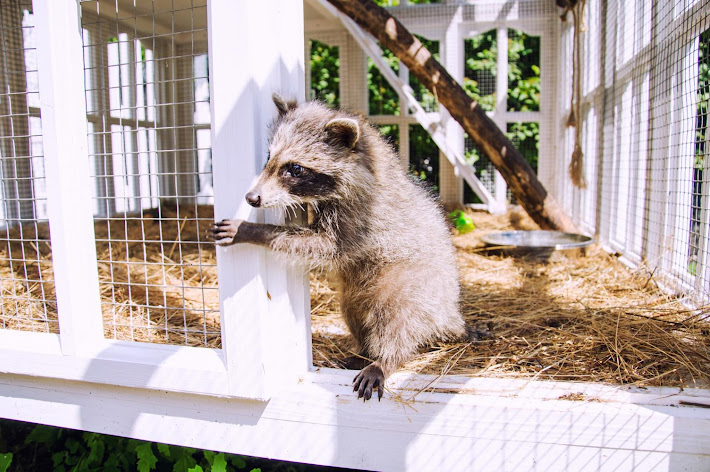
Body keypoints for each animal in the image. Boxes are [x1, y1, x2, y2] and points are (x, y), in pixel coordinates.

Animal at [210, 94, 468, 400]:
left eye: (295, 168)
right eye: (269, 157)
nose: (252, 198)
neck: (363, 167)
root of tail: (448, 312)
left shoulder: (363, 215)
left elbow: (324, 246)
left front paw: (254, 230)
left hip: (415, 285)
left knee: (398, 319)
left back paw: (384, 359)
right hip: (359, 293)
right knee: (353, 311)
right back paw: (364, 351)